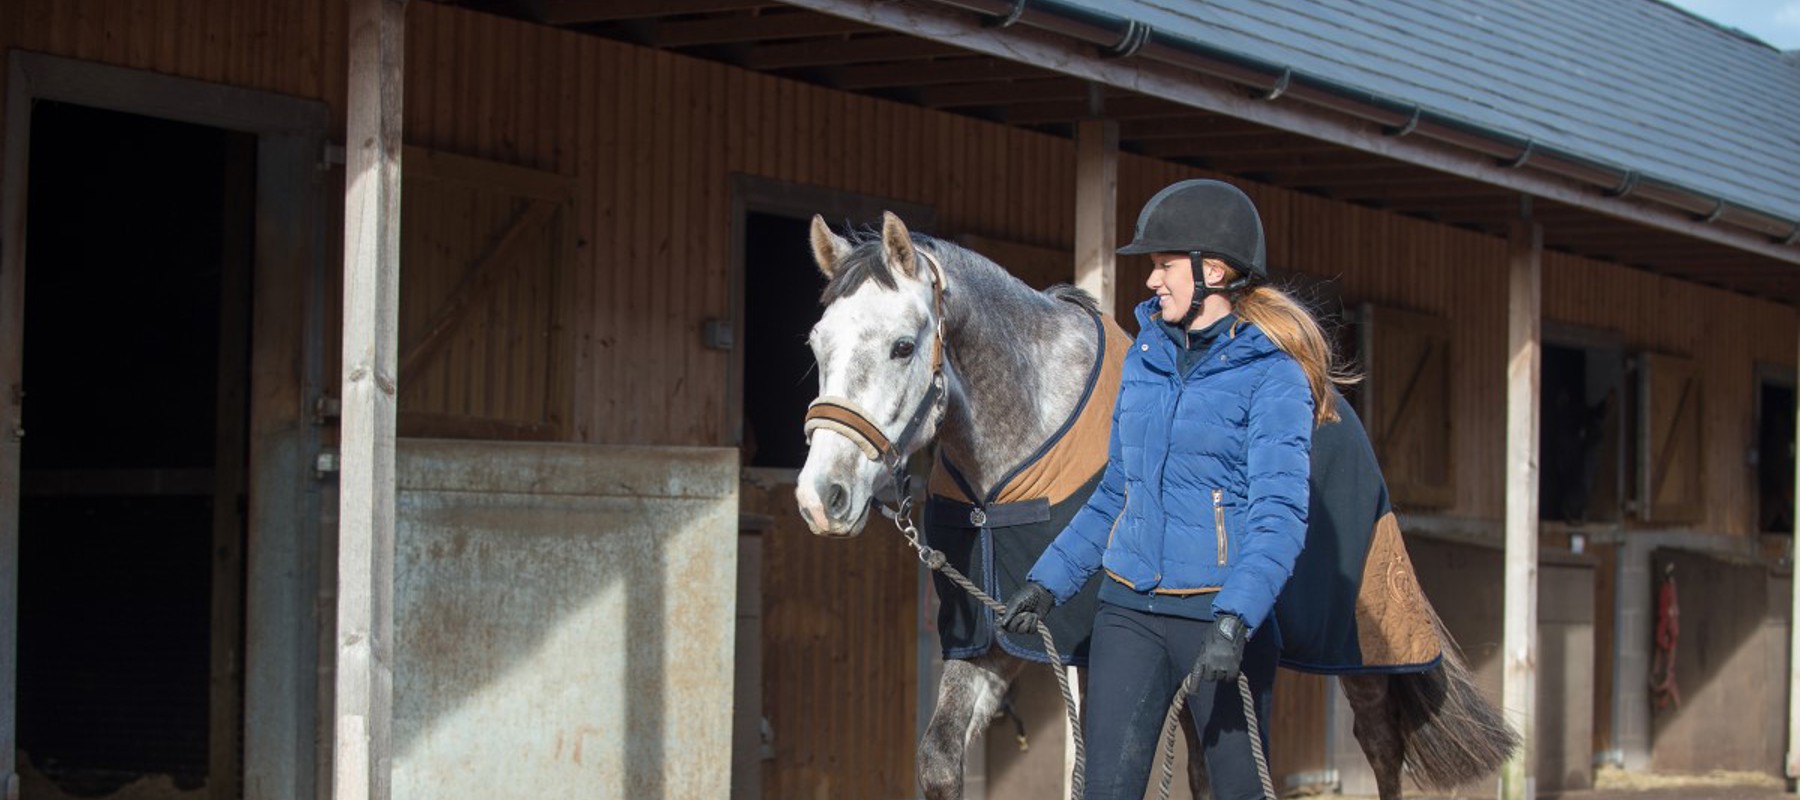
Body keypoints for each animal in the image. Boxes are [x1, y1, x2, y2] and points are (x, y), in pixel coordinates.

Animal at [793, 210, 1517, 800]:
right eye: (817, 345)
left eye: (902, 346)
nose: (820, 498)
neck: (1019, 452)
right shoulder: (995, 636)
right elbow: (941, 761)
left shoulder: (1086, 651)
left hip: (1362, 650)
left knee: (1381, 744)